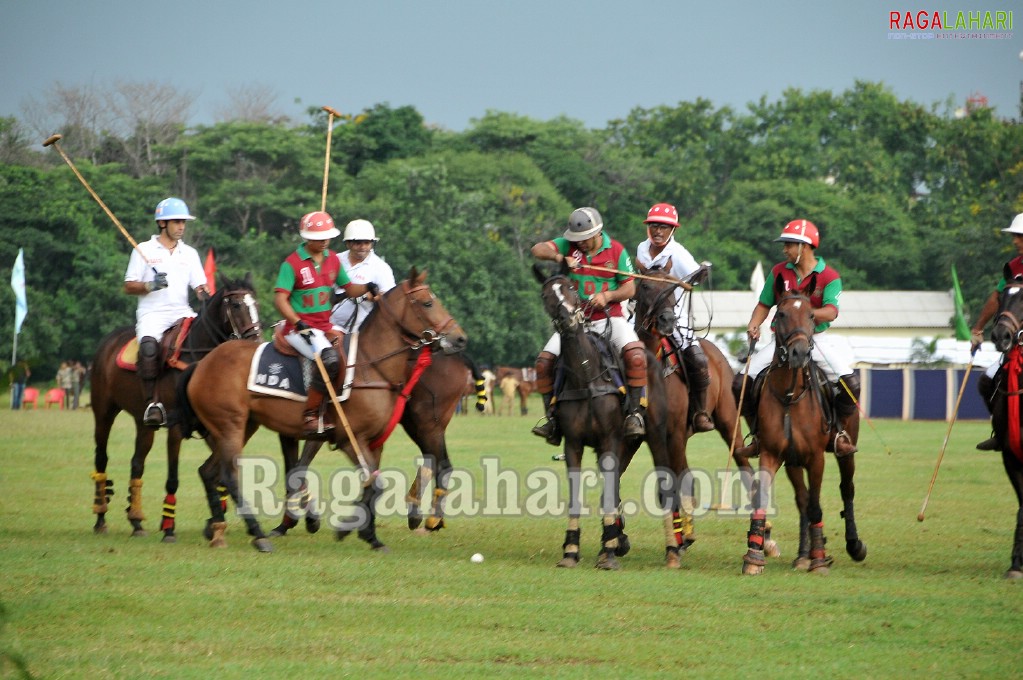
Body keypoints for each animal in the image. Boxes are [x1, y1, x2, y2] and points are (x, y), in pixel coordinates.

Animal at [89, 274, 263, 539]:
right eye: (235, 305)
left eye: (256, 303)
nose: (257, 342)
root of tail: (107, 342)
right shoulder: (177, 428)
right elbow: (173, 477)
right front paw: (169, 527)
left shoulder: (214, 426)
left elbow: (219, 472)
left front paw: (213, 521)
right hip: (104, 411)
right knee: (101, 457)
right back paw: (100, 518)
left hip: (143, 422)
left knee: (137, 462)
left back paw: (136, 521)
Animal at [178, 265, 466, 552]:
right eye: (428, 303)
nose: (460, 338)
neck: (369, 365)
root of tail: (202, 364)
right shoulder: (348, 439)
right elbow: (368, 483)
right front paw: (345, 528)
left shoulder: (373, 442)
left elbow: (371, 485)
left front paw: (367, 535)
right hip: (231, 425)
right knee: (226, 475)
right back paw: (256, 534)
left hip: (242, 425)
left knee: (209, 471)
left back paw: (219, 530)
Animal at [531, 261, 675, 568]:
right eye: (546, 295)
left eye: (571, 289)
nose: (569, 320)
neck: (586, 376)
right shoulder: (573, 444)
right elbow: (577, 495)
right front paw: (571, 550)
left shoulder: (609, 439)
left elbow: (609, 491)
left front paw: (608, 552)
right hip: (624, 444)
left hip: (655, 434)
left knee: (662, 483)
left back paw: (672, 549)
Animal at [740, 274, 867, 576]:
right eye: (781, 314)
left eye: (811, 315)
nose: (798, 353)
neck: (789, 395)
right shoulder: (772, 453)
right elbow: (767, 500)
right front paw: (754, 556)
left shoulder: (815, 457)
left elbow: (817, 505)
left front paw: (819, 560)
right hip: (793, 461)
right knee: (802, 500)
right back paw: (802, 555)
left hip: (845, 449)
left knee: (846, 489)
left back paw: (852, 546)